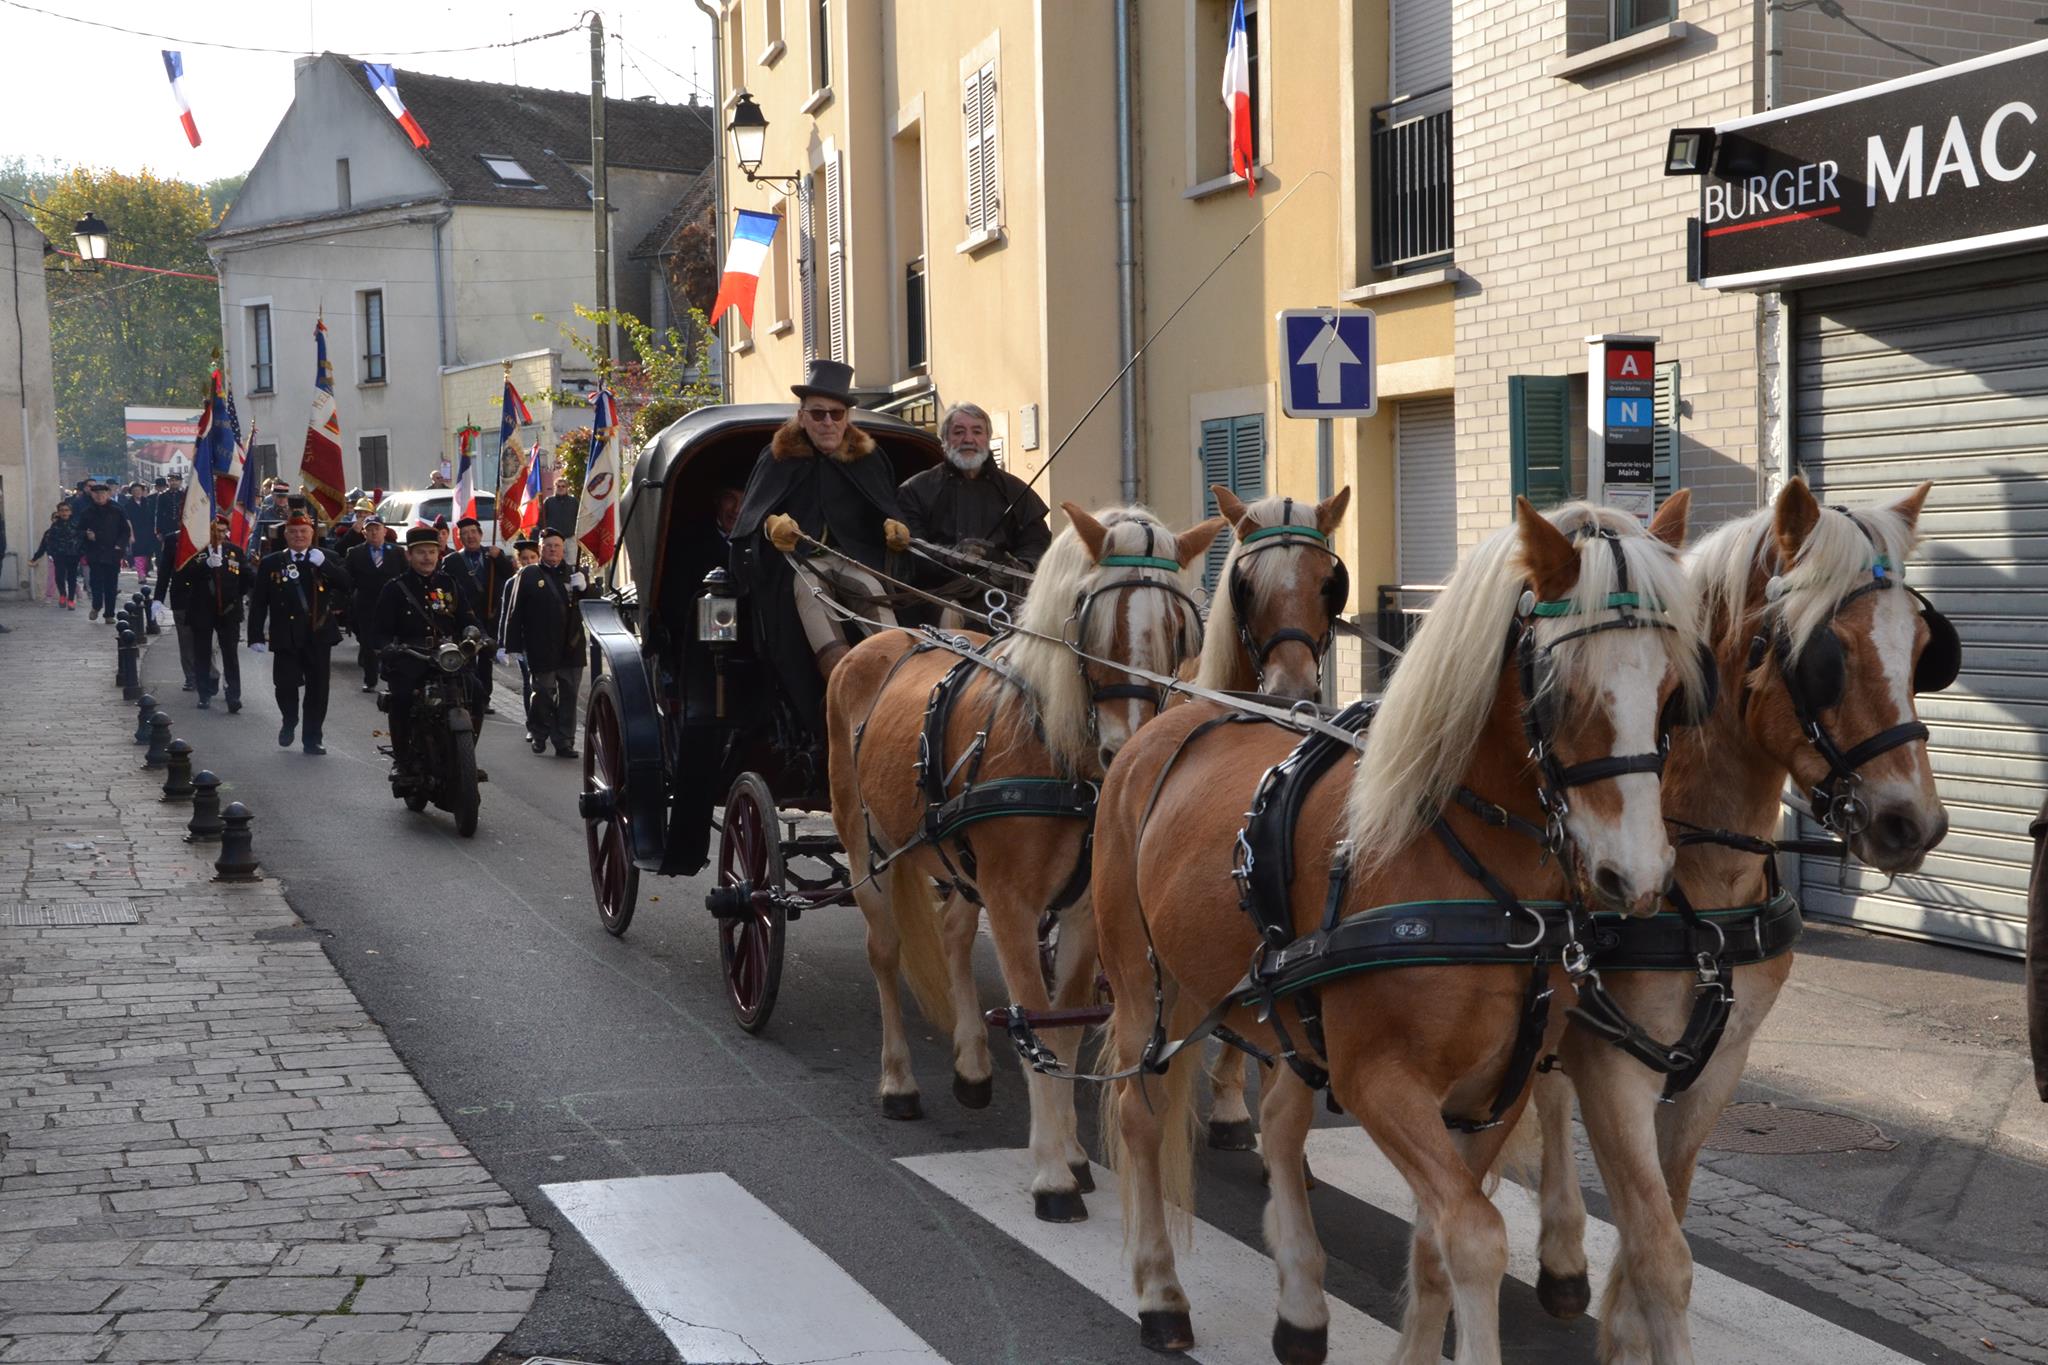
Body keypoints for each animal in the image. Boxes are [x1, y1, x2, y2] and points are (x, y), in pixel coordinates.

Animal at [1097, 497, 1703, 1365]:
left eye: (1672, 689)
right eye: (1559, 690)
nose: (1637, 874)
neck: (1470, 873)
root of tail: (1167, 721)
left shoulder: (1491, 1092)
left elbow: (1438, 1237)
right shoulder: (1378, 1081)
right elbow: (1476, 1237)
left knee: (1275, 1123)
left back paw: (1299, 1302)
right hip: (1147, 986)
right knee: (1140, 1115)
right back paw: (1159, 1290)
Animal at [1540, 474, 1949, 1358]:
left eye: (1921, 647)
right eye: (1829, 656)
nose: (1914, 823)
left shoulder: (1716, 1067)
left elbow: (1659, 1227)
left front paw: (1621, 1328)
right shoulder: (1613, 1064)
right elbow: (1660, 1252)